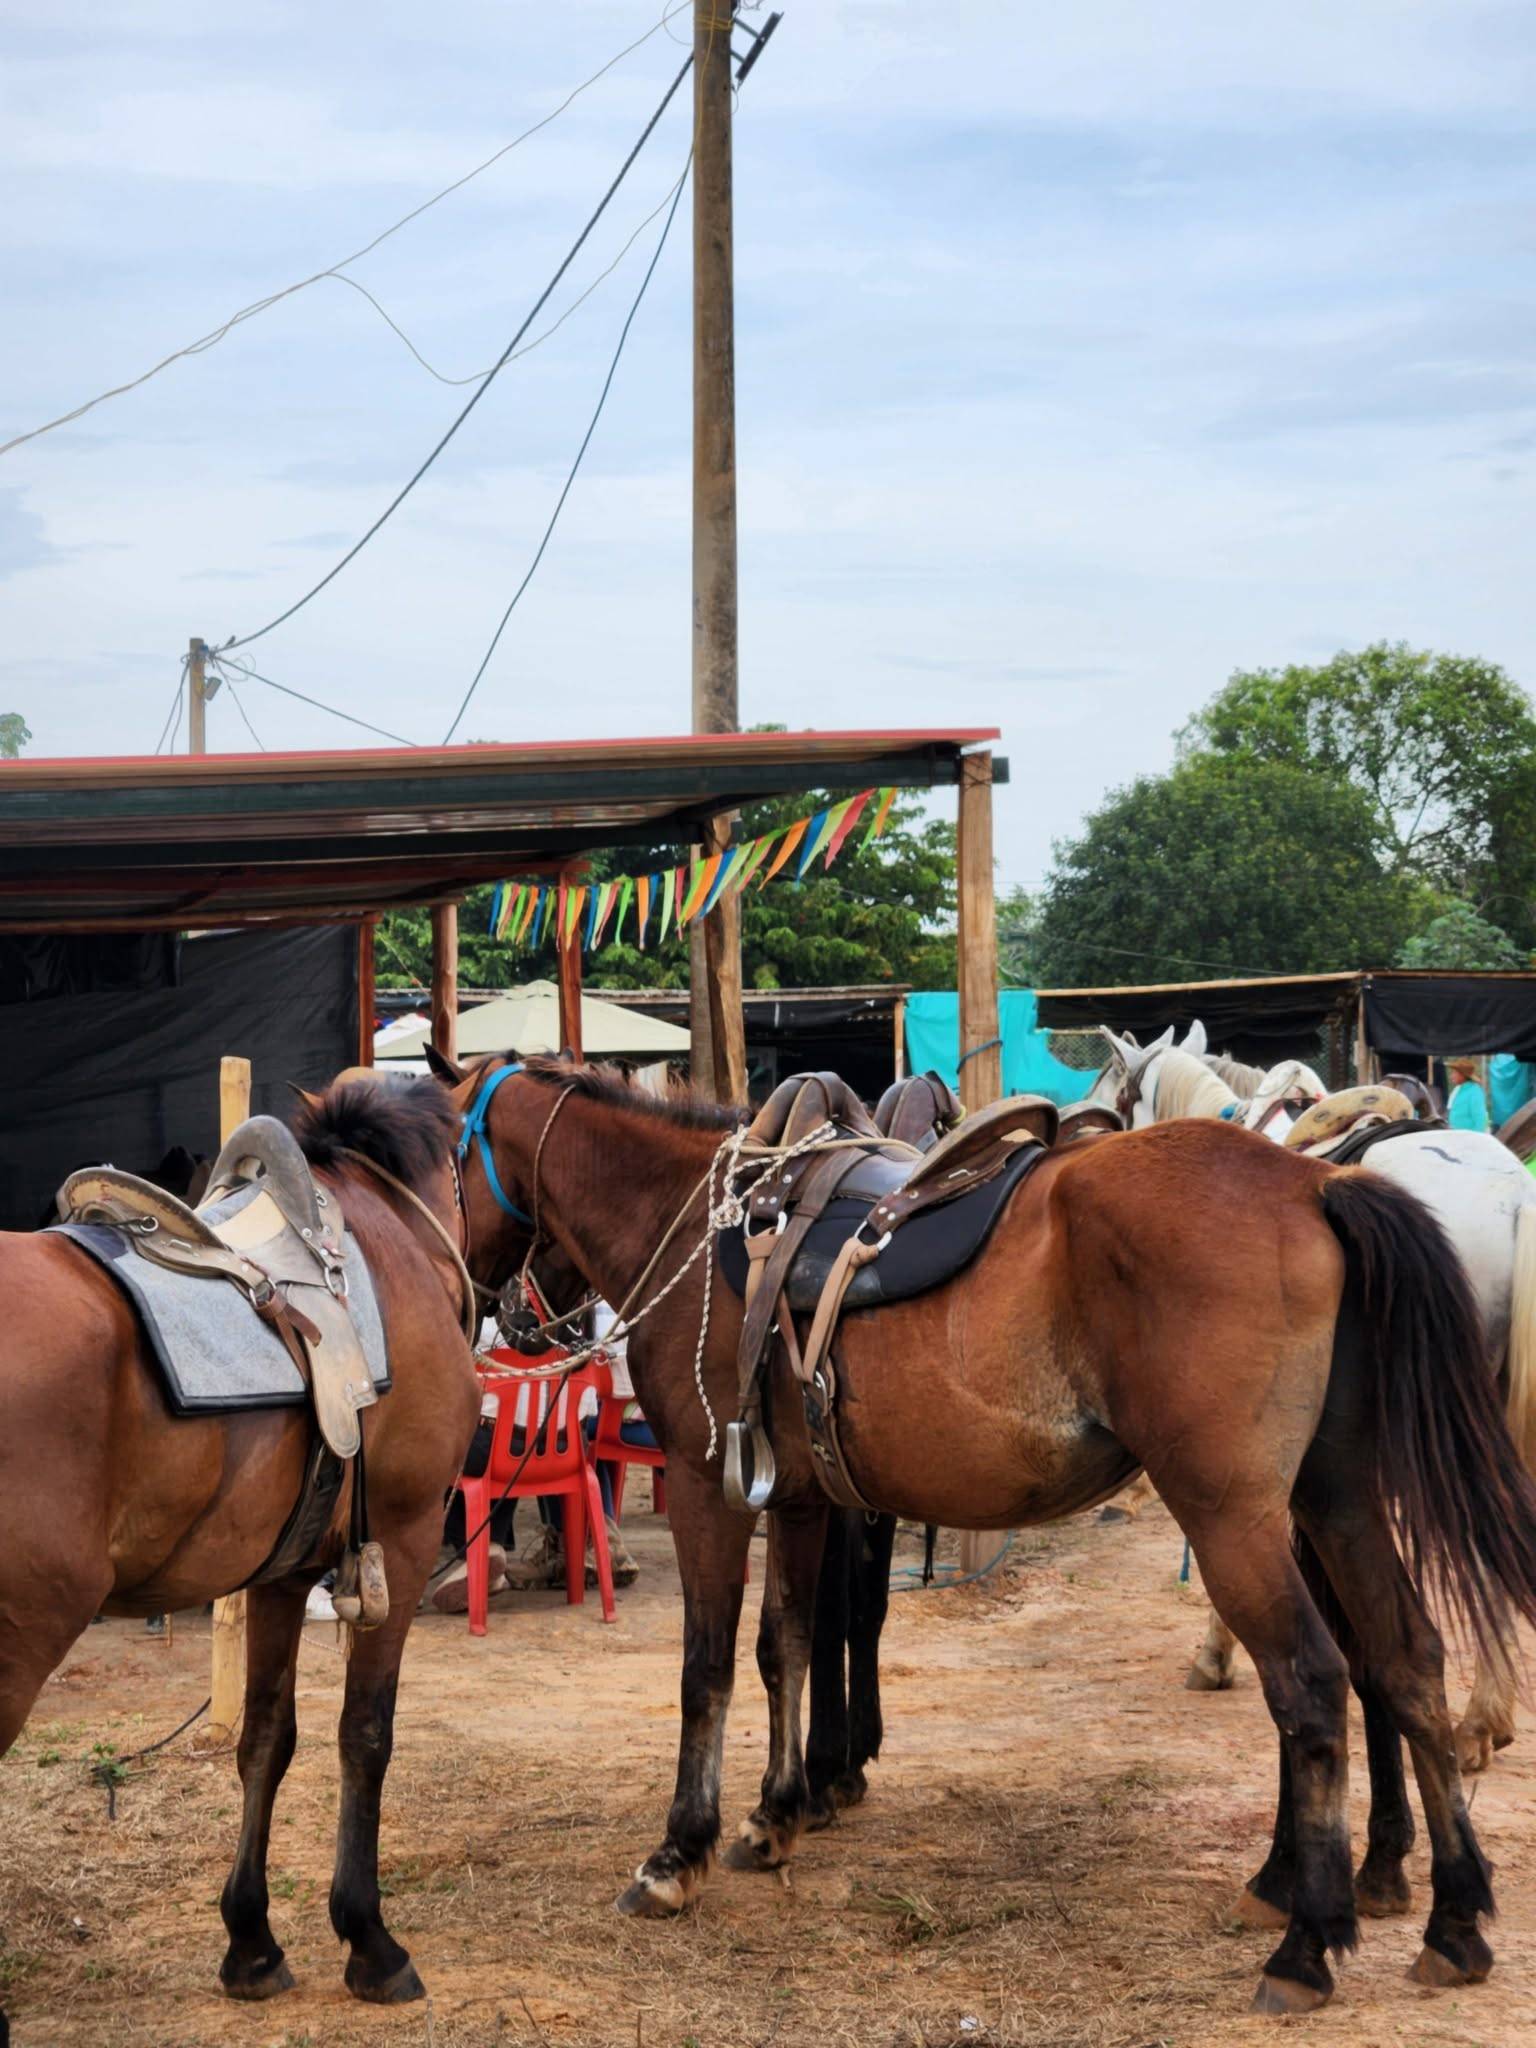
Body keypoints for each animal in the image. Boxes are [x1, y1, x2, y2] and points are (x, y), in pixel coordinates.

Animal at [0, 1077, 479, 2036]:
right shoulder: (405, 1541)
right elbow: (364, 1734)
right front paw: (369, 1939)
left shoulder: (283, 1575)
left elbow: (265, 1738)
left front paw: (251, 1941)